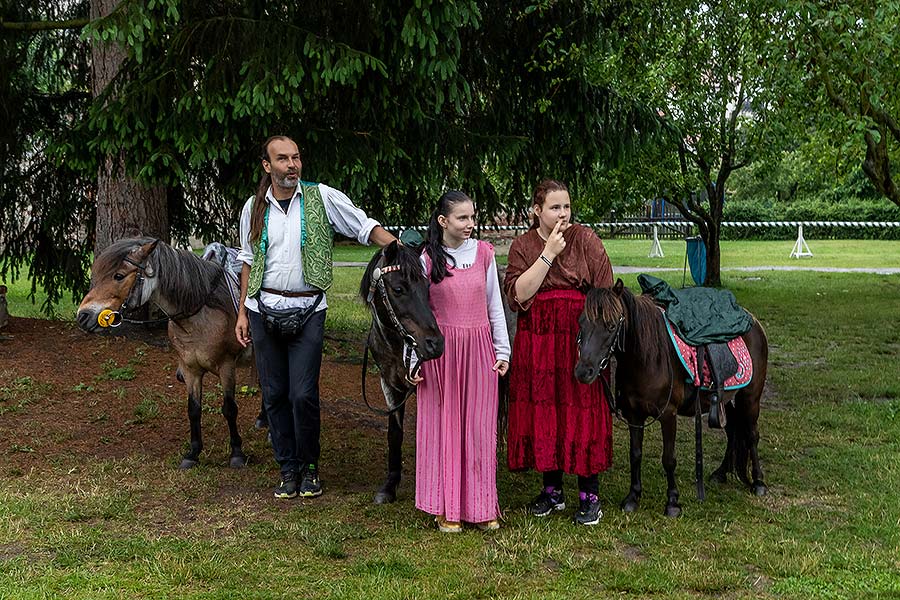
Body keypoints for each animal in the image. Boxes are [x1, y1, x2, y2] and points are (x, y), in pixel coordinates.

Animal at [76, 238, 251, 468]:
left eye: (119, 276)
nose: (83, 316)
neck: (202, 313)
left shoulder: (227, 366)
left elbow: (230, 408)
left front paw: (237, 453)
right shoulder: (190, 370)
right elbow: (194, 410)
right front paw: (193, 453)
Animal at [356, 241, 444, 504]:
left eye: (427, 286)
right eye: (398, 288)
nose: (435, 344)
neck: (397, 347)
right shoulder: (391, 385)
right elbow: (395, 434)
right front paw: (389, 486)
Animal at [576, 278, 768, 516]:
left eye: (611, 326)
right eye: (581, 323)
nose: (583, 372)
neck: (647, 358)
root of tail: (754, 322)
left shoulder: (668, 414)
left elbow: (668, 459)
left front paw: (673, 502)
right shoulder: (634, 415)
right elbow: (635, 454)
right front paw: (633, 497)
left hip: (750, 398)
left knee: (751, 435)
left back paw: (758, 482)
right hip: (726, 400)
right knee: (733, 430)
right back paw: (721, 473)